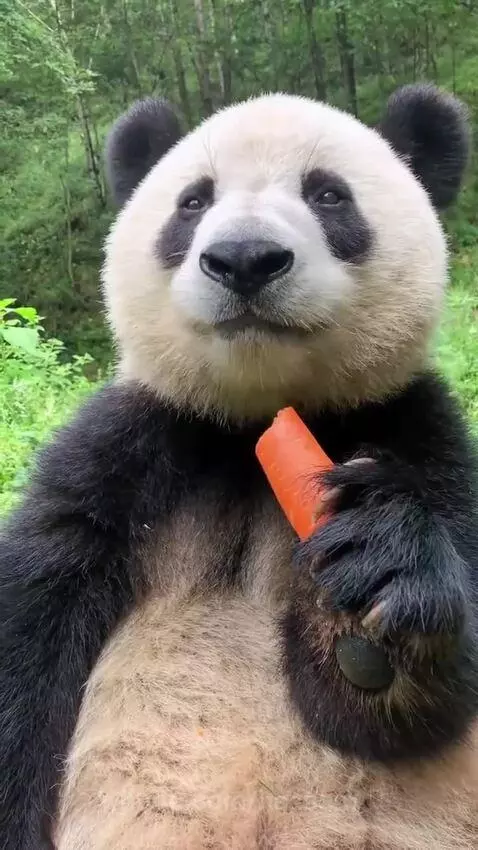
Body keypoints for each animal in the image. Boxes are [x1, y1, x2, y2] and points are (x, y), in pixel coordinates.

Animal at [1, 83, 478, 850]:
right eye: (193, 201)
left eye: (328, 195)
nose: (245, 258)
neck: (253, 426)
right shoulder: (127, 449)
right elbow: (30, 627)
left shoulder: (416, 429)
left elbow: (408, 710)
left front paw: (378, 575)